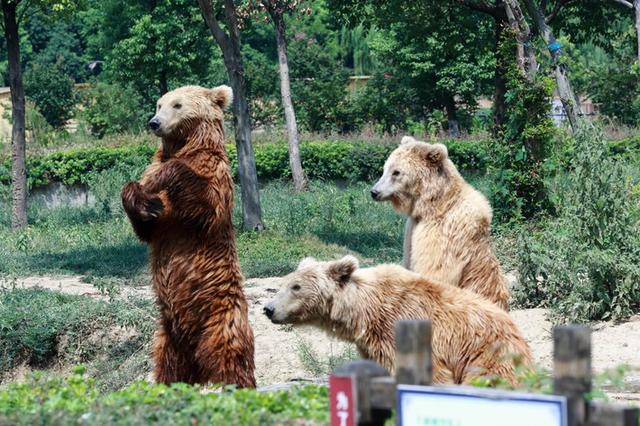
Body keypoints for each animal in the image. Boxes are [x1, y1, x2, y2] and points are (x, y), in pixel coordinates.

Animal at [122, 85, 255, 388]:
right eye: (159, 104)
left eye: (178, 104)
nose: (154, 122)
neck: (186, 146)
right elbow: (146, 225)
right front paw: (144, 199)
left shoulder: (214, 176)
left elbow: (204, 202)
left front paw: (162, 176)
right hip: (167, 333)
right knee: (167, 362)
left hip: (220, 318)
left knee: (230, 356)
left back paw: (236, 385)